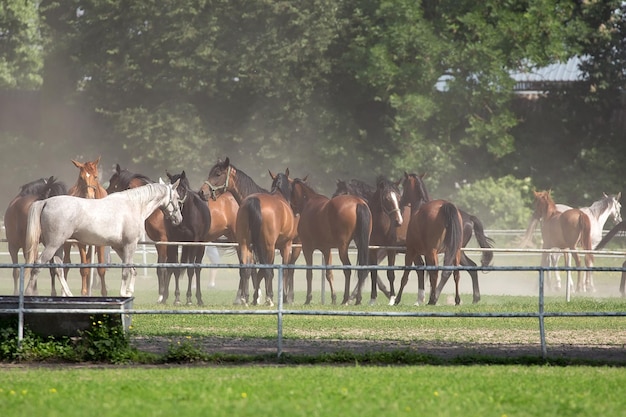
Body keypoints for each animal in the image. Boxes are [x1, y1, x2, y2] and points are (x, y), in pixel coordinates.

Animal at [25, 179, 182, 296]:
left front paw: (129, 291)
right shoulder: (130, 245)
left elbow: (133, 269)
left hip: (58, 246)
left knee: (58, 269)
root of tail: (45, 202)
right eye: (178, 198)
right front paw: (123, 293)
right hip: (53, 245)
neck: (134, 205)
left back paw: (69, 294)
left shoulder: (119, 247)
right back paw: (28, 293)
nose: (179, 219)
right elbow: (126, 270)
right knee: (38, 265)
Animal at [64, 156, 108, 296]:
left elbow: (100, 268)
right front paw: (83, 292)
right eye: (81, 177)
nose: (89, 197)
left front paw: (104, 292)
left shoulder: (101, 242)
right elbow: (84, 268)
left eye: (96, 176)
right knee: (66, 263)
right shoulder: (81, 242)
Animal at [165, 170, 211, 306]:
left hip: (201, 246)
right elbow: (175, 269)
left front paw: (189, 299)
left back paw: (199, 299)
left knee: (197, 269)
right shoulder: (173, 241)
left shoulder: (193, 242)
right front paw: (177, 298)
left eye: (182, 188)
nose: (176, 207)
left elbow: (191, 270)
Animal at [288, 176, 370, 306]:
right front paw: (333, 298)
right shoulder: (326, 249)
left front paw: (308, 298)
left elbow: (309, 273)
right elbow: (329, 273)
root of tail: (358, 202)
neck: (308, 203)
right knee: (362, 270)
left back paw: (345, 299)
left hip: (343, 248)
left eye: (290, 191)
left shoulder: (307, 248)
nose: (291, 208)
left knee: (347, 270)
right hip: (361, 244)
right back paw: (358, 299)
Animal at [398, 171, 494, 304]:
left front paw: (397, 299)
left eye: (404, 184)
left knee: (441, 272)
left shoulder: (412, 251)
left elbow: (406, 275)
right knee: (459, 270)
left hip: (439, 251)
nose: (401, 202)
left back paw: (434, 298)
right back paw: (466, 298)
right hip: (456, 251)